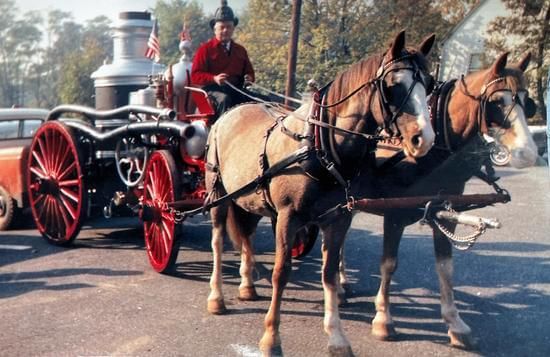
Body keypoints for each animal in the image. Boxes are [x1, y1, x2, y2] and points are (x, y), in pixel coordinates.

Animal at [205, 31, 438, 356]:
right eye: (393, 85)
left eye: (429, 84)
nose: (424, 139)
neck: (321, 145)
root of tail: (232, 111)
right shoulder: (287, 217)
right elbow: (281, 272)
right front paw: (271, 336)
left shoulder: (338, 218)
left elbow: (328, 273)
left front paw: (337, 336)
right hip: (217, 193)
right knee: (217, 241)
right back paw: (216, 297)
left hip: (249, 199)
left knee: (246, 234)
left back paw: (247, 286)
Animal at [342, 51, 540, 350]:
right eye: (496, 102)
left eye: (528, 103)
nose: (528, 153)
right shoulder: (394, 213)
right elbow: (389, 263)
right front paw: (384, 319)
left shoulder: (444, 210)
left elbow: (445, 268)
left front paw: (455, 323)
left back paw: (341, 280)